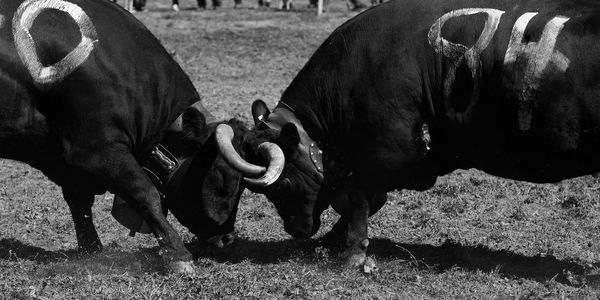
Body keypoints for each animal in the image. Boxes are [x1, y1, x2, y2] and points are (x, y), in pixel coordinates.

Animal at [0, 0, 258, 272]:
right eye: (223, 178)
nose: (228, 238)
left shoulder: (69, 161)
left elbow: (79, 201)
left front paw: (92, 249)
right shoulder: (97, 150)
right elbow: (144, 193)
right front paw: (178, 254)